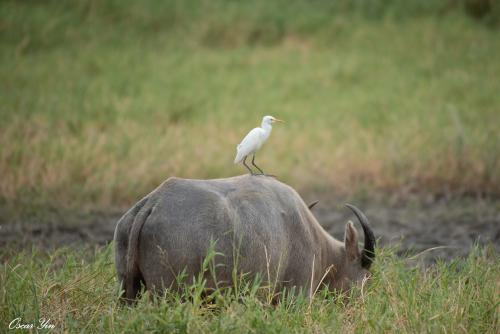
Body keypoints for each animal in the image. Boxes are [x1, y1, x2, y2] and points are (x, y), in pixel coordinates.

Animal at [114, 175, 376, 302]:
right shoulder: (296, 295)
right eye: (364, 279)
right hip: (168, 293)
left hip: (128, 288)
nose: (359, 309)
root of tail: (153, 202)